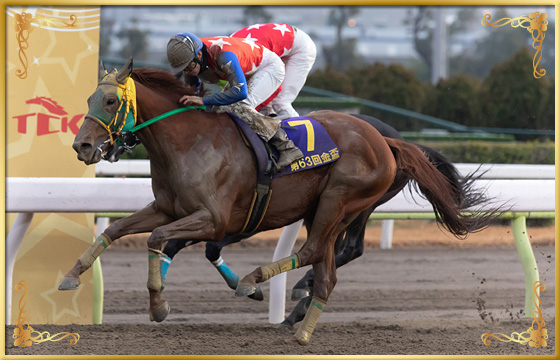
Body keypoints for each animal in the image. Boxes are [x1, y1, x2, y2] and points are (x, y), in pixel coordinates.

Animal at [63, 59, 500, 346]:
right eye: (88, 98)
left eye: (111, 102)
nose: (82, 146)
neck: (189, 140)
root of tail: (388, 140)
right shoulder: (169, 209)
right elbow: (118, 228)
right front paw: (71, 275)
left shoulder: (215, 219)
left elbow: (160, 239)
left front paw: (159, 305)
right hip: (327, 210)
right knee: (326, 266)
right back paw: (301, 325)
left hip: (339, 202)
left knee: (317, 251)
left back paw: (261, 284)